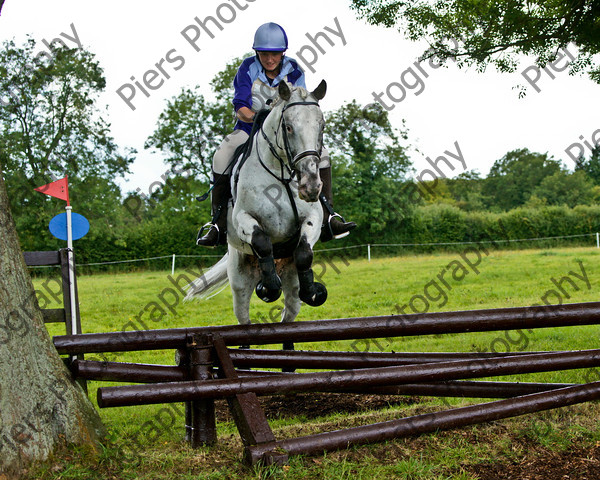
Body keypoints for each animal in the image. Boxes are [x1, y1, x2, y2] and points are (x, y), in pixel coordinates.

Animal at [186, 79, 328, 348]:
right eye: (288, 127)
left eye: (321, 126)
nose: (311, 185)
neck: (281, 174)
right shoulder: (244, 218)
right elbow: (262, 242)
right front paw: (269, 288)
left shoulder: (312, 220)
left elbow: (304, 252)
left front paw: (313, 291)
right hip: (239, 282)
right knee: (244, 323)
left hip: (291, 282)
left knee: (288, 319)